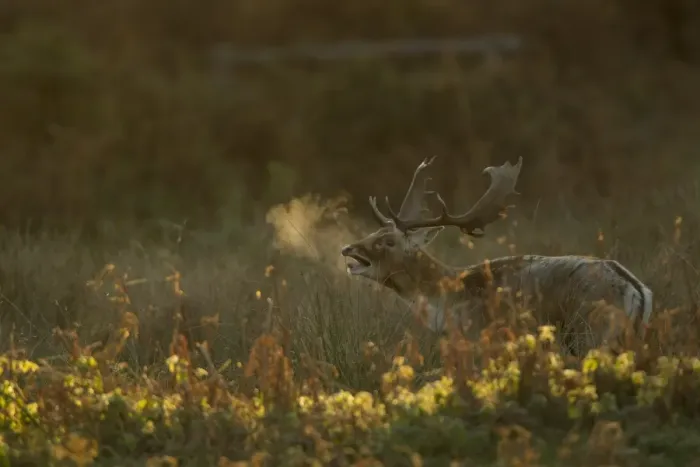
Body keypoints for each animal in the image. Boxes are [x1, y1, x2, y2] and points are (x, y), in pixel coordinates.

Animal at [340, 156, 653, 355]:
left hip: (592, 333)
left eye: (387, 241)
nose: (348, 249)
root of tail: (637, 290)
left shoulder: (479, 337)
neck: (445, 299)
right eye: (375, 231)